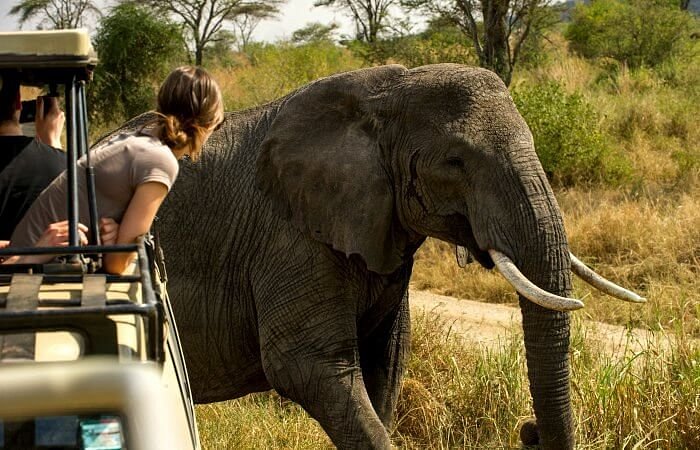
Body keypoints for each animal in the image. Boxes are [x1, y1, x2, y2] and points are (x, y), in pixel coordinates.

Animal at [106, 64, 644, 450]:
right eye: (456, 161)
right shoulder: (286, 238)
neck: (387, 97)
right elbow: (307, 365)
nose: (527, 430)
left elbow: (386, 359)